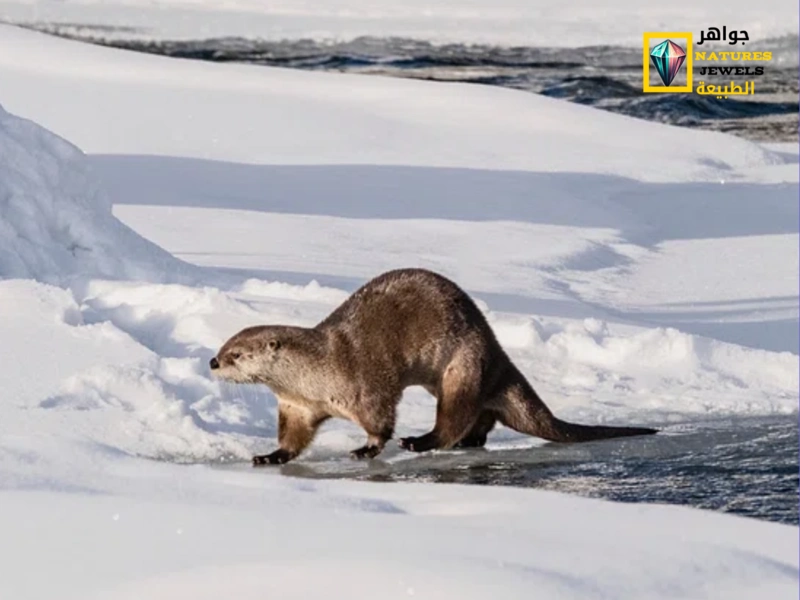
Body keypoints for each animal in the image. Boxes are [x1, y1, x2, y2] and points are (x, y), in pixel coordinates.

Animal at [211, 268, 656, 468]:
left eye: (237, 353)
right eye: (223, 346)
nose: (213, 361)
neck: (317, 374)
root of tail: (496, 350)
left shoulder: (365, 384)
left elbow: (380, 420)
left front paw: (368, 448)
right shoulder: (298, 406)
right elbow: (294, 439)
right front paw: (270, 456)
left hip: (462, 365)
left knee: (454, 417)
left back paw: (421, 441)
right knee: (481, 416)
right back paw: (469, 441)